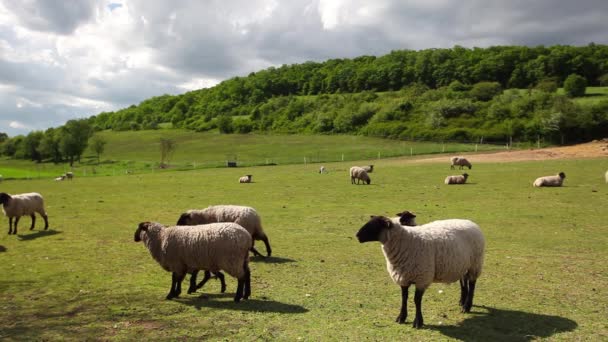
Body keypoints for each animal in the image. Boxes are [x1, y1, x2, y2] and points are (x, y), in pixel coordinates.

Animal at [356, 216, 484, 328]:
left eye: (374, 225)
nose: (357, 235)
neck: (406, 241)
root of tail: (469, 222)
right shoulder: (403, 277)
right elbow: (404, 298)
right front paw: (401, 317)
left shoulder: (422, 278)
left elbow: (416, 300)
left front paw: (418, 322)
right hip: (462, 265)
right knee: (463, 282)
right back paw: (462, 301)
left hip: (475, 264)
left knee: (472, 284)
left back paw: (467, 306)